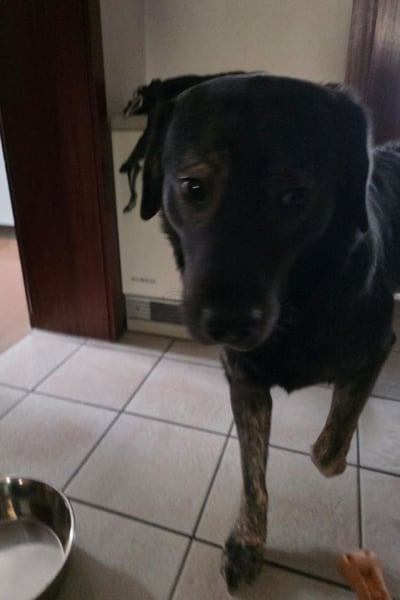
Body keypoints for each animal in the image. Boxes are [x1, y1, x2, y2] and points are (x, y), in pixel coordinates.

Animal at [130, 73, 400, 591]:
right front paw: (248, 542)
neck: (299, 300)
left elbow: (326, 453)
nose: (228, 322)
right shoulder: (245, 383)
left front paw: (340, 442)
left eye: (296, 196)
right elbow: (253, 474)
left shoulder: (376, 350)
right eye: (193, 187)